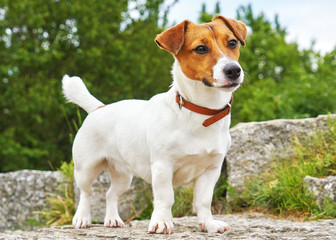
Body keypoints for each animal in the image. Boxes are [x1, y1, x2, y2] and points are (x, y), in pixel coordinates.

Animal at [62, 14, 247, 233]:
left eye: (232, 43)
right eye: (201, 48)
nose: (233, 70)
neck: (201, 112)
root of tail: (99, 108)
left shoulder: (211, 169)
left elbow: (203, 201)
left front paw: (208, 224)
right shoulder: (162, 165)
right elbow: (165, 197)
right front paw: (162, 222)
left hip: (123, 175)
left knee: (110, 194)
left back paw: (113, 219)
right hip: (86, 168)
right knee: (86, 193)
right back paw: (82, 218)